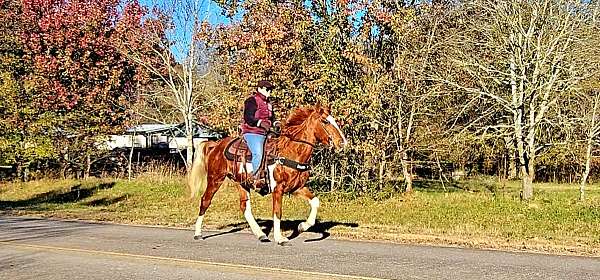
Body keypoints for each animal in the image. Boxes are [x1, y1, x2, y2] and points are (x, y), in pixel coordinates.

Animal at [188, 103, 346, 245]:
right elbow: (277, 212)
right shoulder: (278, 189)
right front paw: (280, 238)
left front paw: (302, 226)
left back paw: (261, 235)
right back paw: (198, 234)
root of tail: (216, 145)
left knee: (245, 207)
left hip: (241, 183)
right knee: (205, 201)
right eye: (325, 121)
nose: (342, 142)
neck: (291, 151)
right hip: (215, 179)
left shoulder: (297, 187)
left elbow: (315, 201)